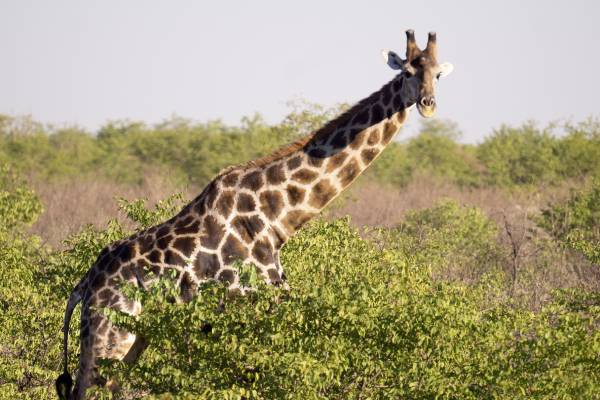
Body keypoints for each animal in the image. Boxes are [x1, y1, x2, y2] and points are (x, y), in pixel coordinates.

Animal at [56, 30, 453, 399]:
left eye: (437, 74)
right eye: (406, 72)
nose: (428, 104)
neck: (278, 218)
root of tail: (84, 287)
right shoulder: (255, 312)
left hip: (133, 340)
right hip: (110, 336)